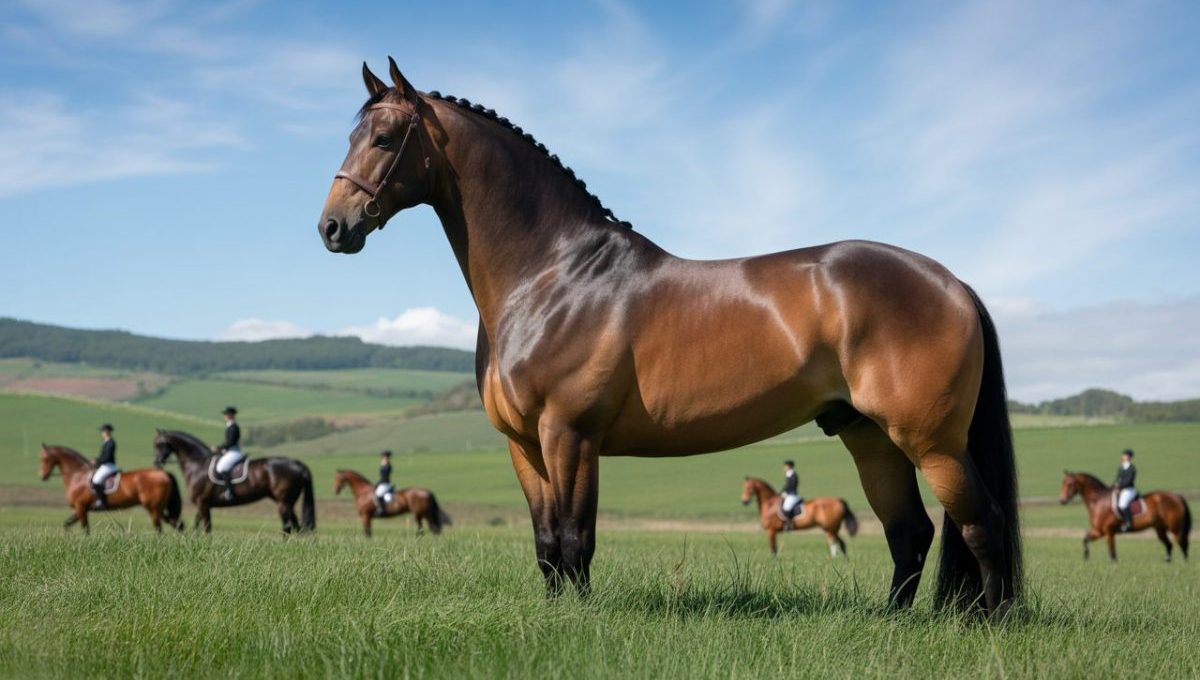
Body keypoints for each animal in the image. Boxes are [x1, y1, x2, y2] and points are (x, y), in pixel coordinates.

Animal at [39, 444, 183, 534]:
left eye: (44, 459)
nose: (42, 476)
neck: (77, 476)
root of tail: (163, 474)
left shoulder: (81, 507)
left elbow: (85, 529)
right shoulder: (81, 509)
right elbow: (67, 524)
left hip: (153, 507)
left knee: (160, 528)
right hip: (158, 507)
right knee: (176, 524)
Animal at [152, 430, 315, 534]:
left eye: (160, 444)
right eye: (155, 444)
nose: (157, 463)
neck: (197, 465)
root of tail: (297, 464)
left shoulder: (202, 503)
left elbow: (207, 527)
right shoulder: (203, 504)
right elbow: (198, 525)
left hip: (284, 502)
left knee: (288, 526)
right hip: (288, 502)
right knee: (296, 526)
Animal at [317, 59, 1022, 614]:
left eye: (384, 137)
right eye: (350, 135)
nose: (332, 227)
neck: (551, 274)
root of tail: (952, 282)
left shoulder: (569, 435)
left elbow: (575, 539)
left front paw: (579, 619)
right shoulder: (524, 445)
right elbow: (546, 542)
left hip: (932, 442)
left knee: (981, 524)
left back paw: (992, 624)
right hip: (869, 436)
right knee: (911, 532)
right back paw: (895, 621)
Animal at [1059, 471, 1191, 562]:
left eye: (1070, 484)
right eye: (1063, 483)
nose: (1062, 500)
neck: (1098, 501)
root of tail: (1176, 497)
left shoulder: (1108, 532)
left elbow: (1112, 554)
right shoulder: (1098, 531)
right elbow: (1085, 540)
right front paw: (1086, 559)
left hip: (1175, 529)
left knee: (1182, 544)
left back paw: (1184, 565)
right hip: (1160, 529)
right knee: (1169, 544)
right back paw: (1167, 561)